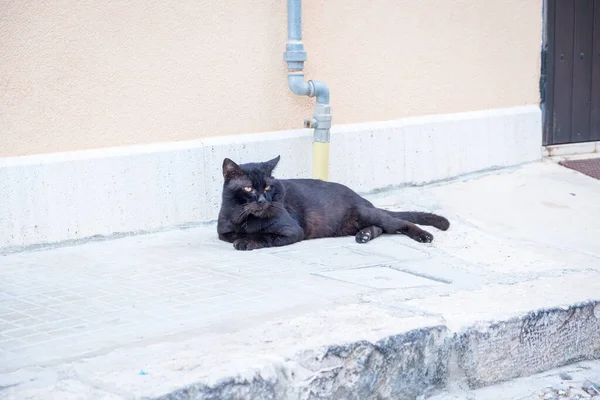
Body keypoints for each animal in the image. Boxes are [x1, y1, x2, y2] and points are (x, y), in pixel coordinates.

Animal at [217, 156, 450, 250]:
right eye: (248, 189)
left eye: (267, 188)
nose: (262, 200)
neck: (245, 219)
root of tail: (362, 199)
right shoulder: (223, 233)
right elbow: (233, 235)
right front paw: (242, 237)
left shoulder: (291, 230)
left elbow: (263, 235)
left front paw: (247, 241)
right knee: (381, 228)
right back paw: (364, 236)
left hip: (366, 213)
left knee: (399, 223)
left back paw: (425, 236)